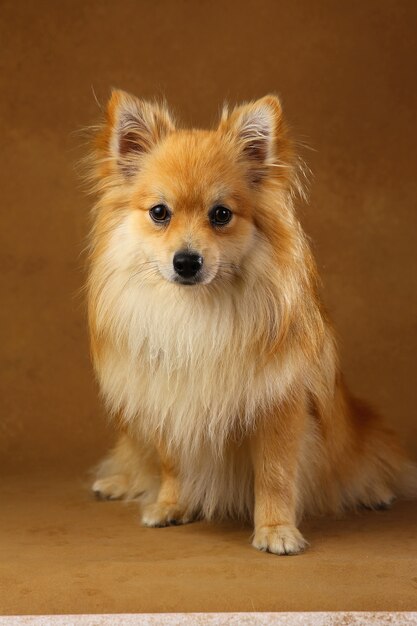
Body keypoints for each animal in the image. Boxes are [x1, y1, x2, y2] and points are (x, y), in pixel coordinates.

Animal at [86, 88, 414, 552]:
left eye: (221, 215)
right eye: (159, 213)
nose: (186, 261)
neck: (198, 311)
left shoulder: (279, 405)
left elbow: (275, 474)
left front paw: (276, 530)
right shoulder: (169, 396)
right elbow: (171, 463)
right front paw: (171, 505)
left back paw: (373, 491)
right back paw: (116, 482)